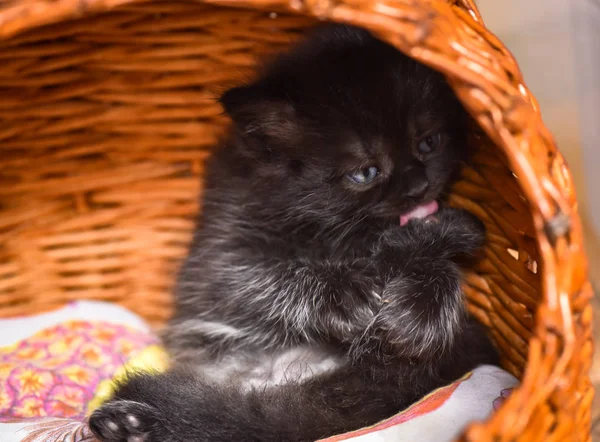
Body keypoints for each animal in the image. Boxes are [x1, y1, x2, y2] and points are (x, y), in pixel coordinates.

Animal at [86, 25, 494, 442]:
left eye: (429, 142)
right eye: (365, 172)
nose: (419, 188)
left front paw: (421, 303)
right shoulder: (217, 252)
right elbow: (256, 276)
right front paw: (343, 296)